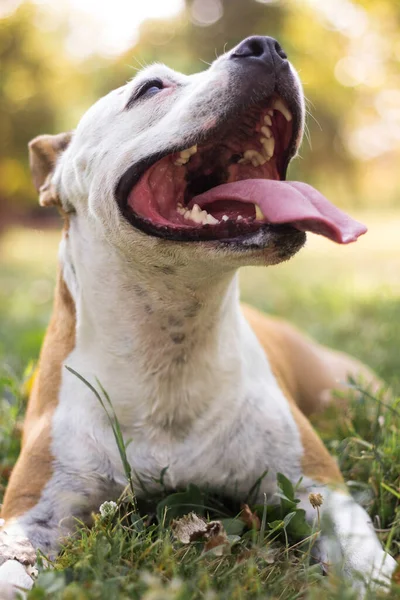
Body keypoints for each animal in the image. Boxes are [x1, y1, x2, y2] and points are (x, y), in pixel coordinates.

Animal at [0, 36, 396, 596]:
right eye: (150, 88)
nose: (267, 46)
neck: (172, 339)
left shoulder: (320, 487)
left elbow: (364, 555)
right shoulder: (31, 512)